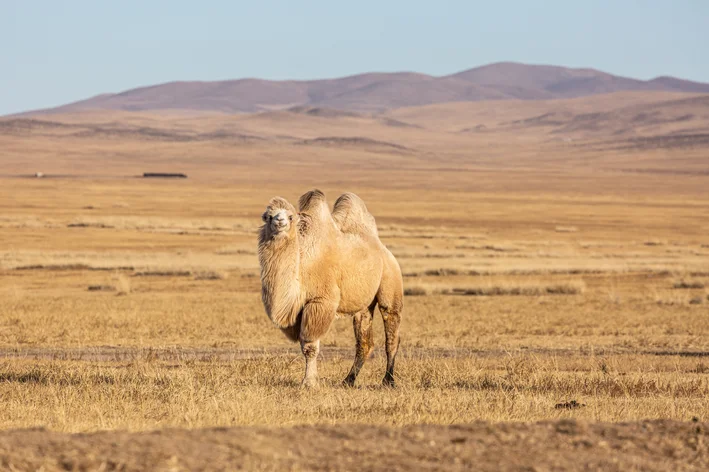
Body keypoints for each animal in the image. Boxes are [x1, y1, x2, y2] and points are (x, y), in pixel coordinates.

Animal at [258, 189, 404, 388]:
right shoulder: (298, 312)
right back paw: (348, 380)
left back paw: (388, 380)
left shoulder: (320, 301)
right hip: (363, 304)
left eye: (290, 216)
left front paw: (309, 382)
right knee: (364, 340)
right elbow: (304, 345)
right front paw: (311, 380)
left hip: (391, 281)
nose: (279, 221)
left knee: (391, 333)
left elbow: (310, 346)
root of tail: (383, 249)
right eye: (268, 216)